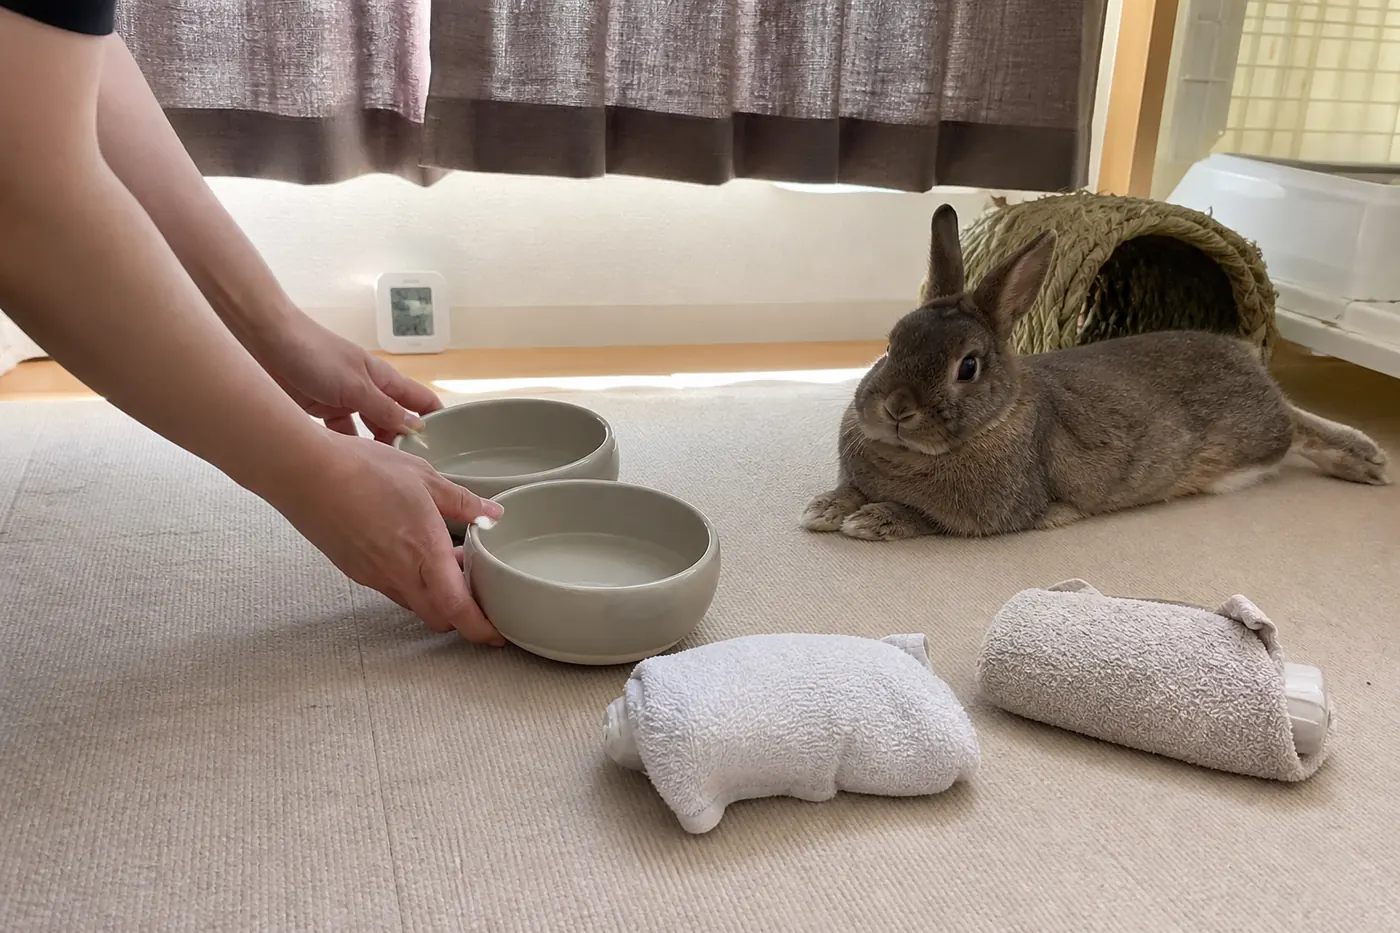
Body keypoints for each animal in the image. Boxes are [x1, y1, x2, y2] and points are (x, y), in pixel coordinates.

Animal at [802, 203, 1392, 541]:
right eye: (890, 343)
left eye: (967, 366)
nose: (897, 409)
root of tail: (1247, 355)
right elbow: (848, 491)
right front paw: (825, 510)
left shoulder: (999, 512)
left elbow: (921, 517)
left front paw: (871, 520)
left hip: (1261, 434)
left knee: (1296, 427)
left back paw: (1368, 461)